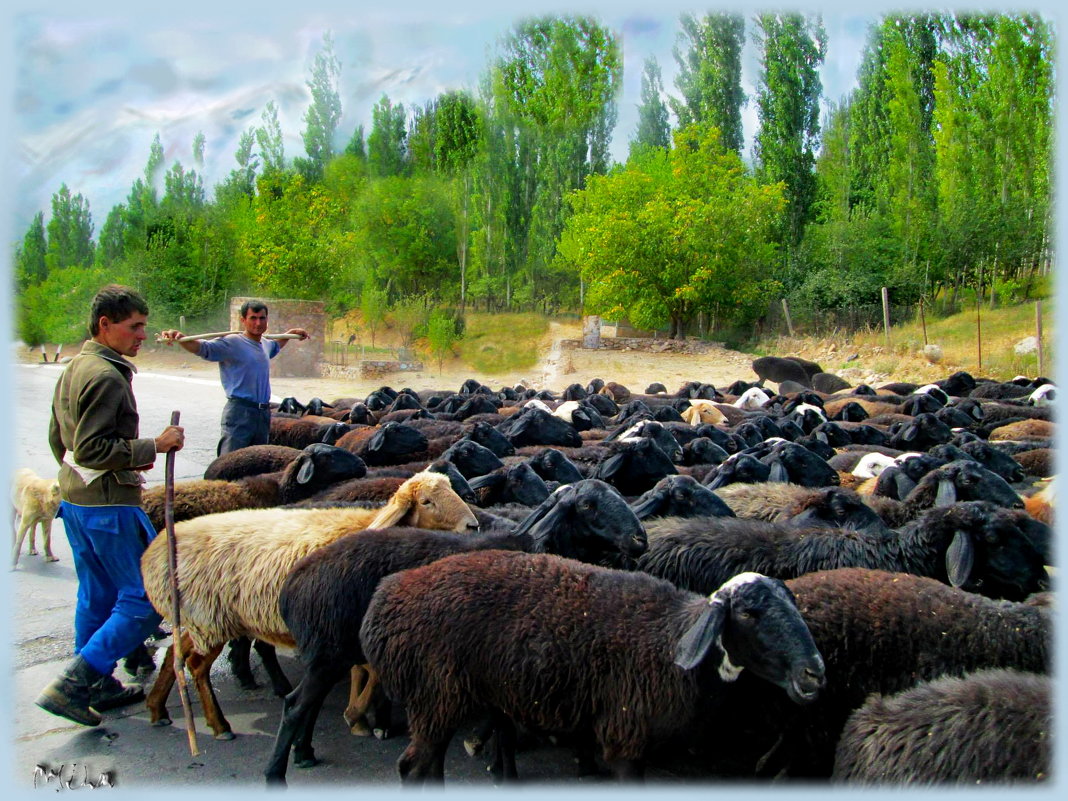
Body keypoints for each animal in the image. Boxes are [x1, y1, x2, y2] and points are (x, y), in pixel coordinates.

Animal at [264, 480, 649, 786]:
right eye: (586, 505)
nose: (639, 539)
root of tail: (294, 583)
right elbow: (503, 727)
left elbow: (502, 724)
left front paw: (500, 766)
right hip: (329, 653)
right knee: (295, 705)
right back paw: (276, 773)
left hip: (329, 654)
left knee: (307, 704)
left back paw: (304, 752)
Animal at [363, 559, 820, 786]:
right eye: (747, 613)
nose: (815, 673)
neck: (673, 639)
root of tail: (382, 601)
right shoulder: (625, 737)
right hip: (436, 695)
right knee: (412, 768)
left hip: (440, 702)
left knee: (430, 766)